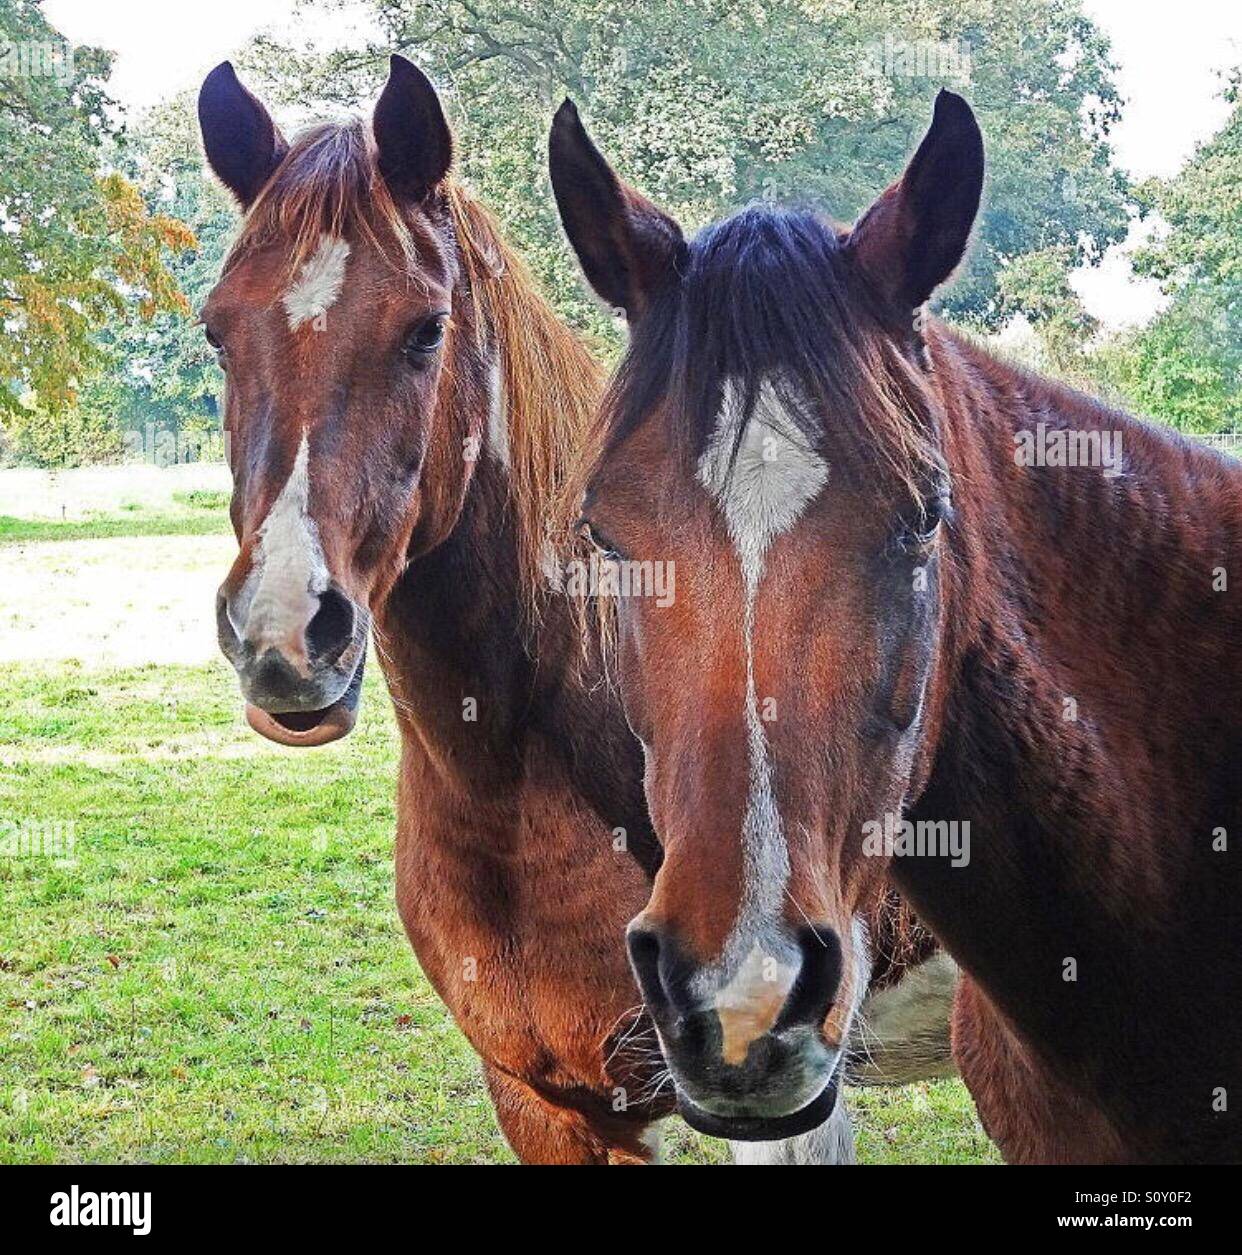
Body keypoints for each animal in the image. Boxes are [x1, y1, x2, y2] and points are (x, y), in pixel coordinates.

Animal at [197, 55, 951, 1164]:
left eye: (425, 329)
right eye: (216, 332)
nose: (286, 635)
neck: (521, 786)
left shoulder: (782, 1103)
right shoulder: (545, 1102)